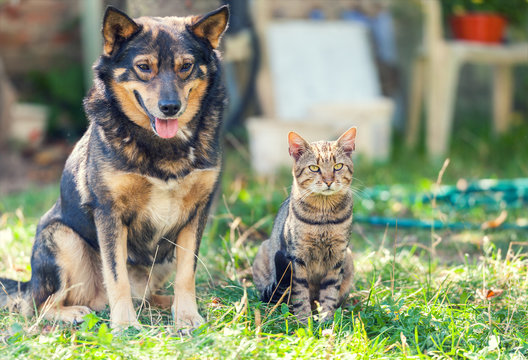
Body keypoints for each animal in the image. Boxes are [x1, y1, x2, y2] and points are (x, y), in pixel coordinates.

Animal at [1, 4, 230, 330]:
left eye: (185, 66)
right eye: (144, 67)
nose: (170, 107)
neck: (162, 145)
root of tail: (28, 285)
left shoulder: (197, 212)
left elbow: (187, 274)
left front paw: (187, 316)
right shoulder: (109, 213)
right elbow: (116, 276)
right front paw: (125, 326)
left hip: (162, 259)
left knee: (147, 297)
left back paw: (170, 304)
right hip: (62, 238)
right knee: (39, 306)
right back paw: (74, 313)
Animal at [253, 128, 358, 322]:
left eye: (338, 166)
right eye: (314, 168)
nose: (329, 180)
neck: (323, 218)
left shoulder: (337, 258)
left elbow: (330, 292)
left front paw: (326, 321)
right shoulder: (297, 257)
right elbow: (300, 293)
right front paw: (304, 321)